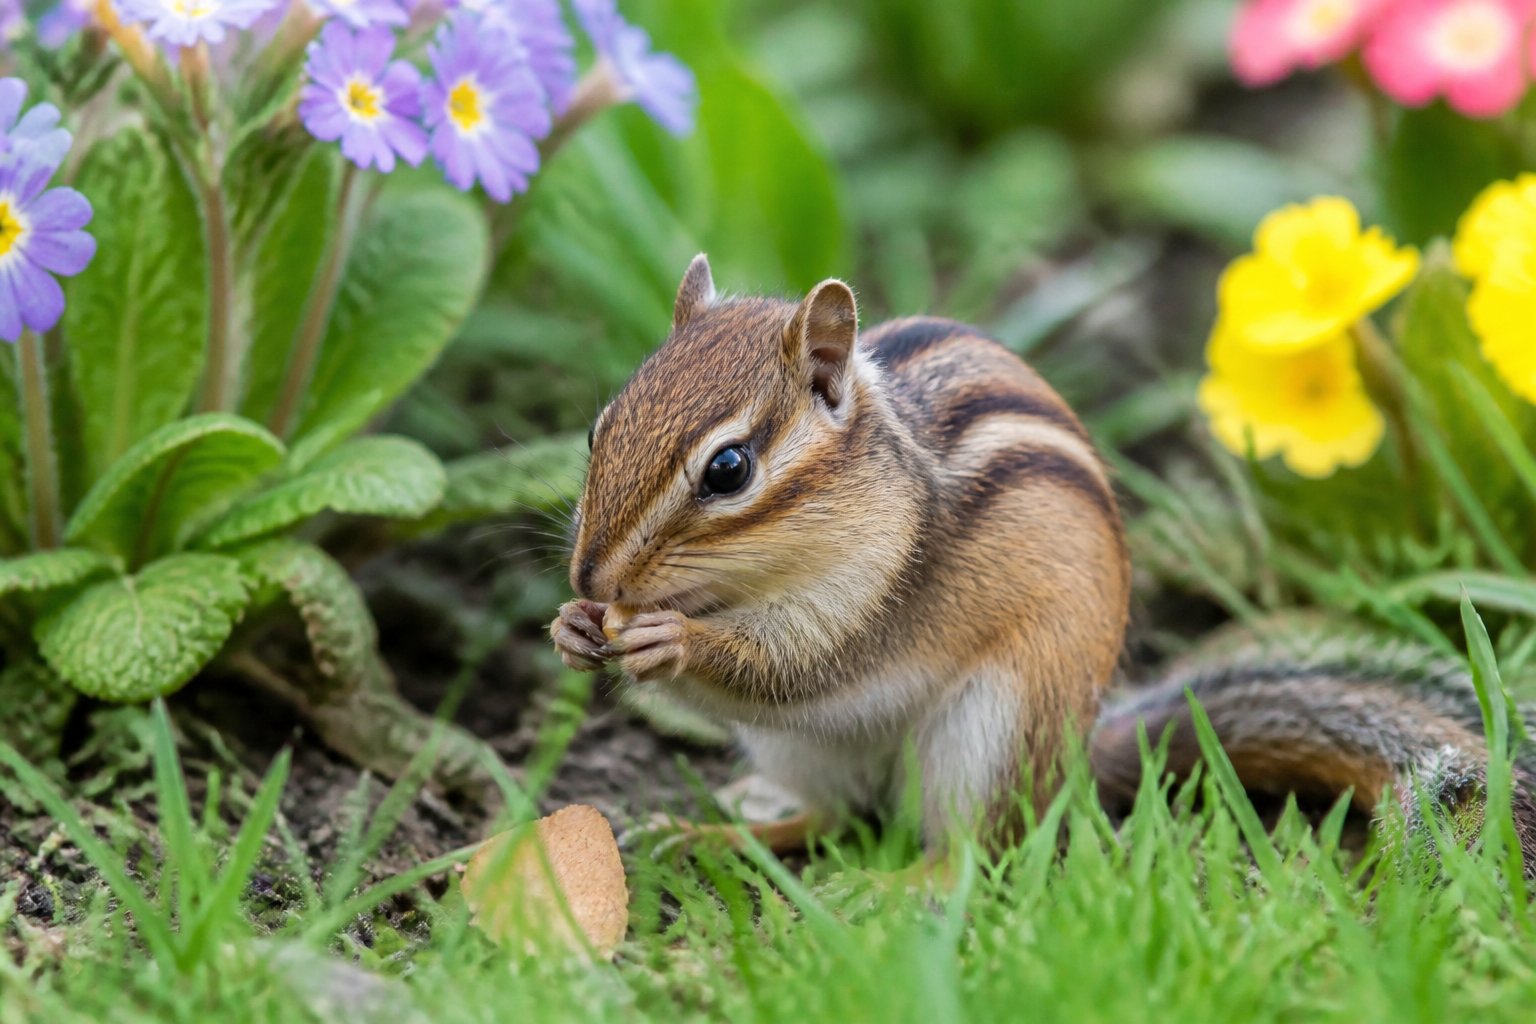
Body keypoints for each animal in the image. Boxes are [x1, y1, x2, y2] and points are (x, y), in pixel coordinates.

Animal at [550, 254, 1536, 858]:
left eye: (728, 469)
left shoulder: (875, 600)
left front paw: (669, 642)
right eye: (599, 428)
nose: (590, 579)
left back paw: (893, 893)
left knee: (967, 855)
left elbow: (797, 668)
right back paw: (705, 836)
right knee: (831, 815)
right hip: (800, 754)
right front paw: (572, 628)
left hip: (993, 726)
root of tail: (1077, 756)